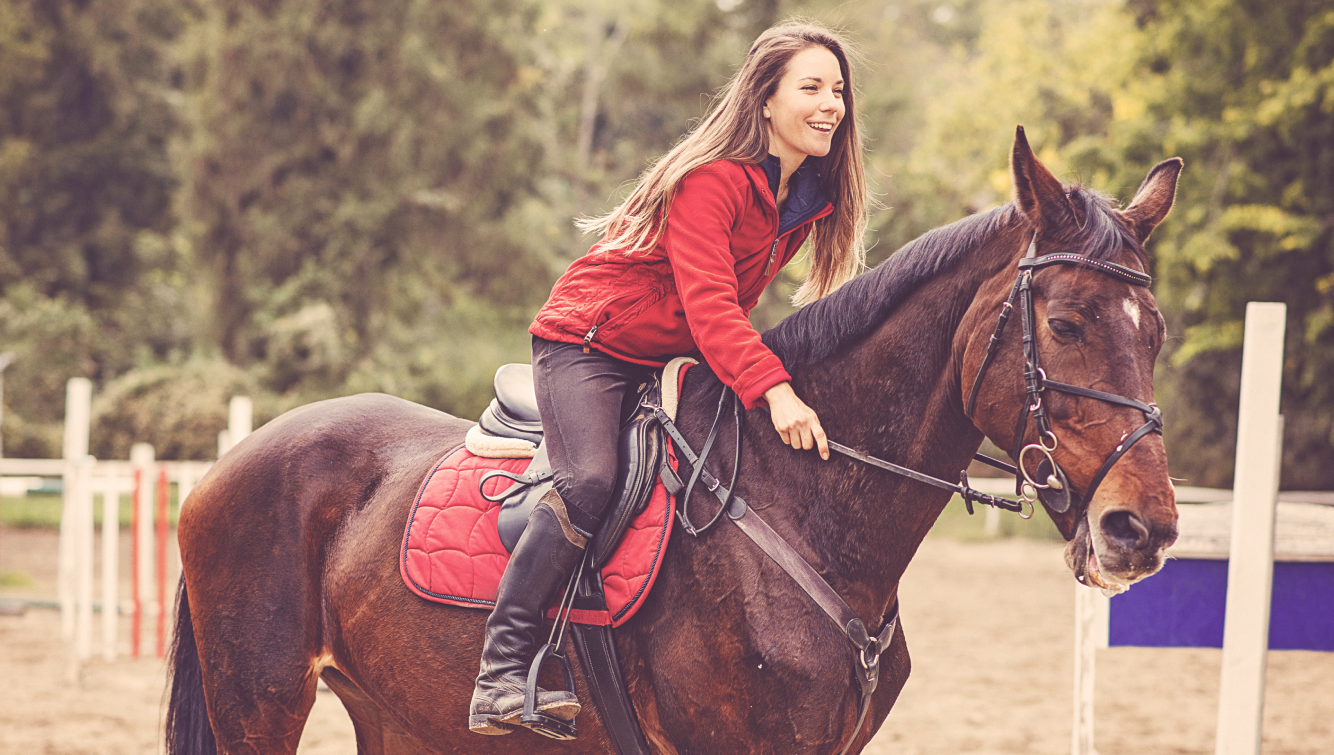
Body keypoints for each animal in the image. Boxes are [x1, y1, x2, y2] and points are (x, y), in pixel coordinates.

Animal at [166, 128, 1181, 754]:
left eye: (1157, 330)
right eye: (1066, 323)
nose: (1144, 530)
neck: (805, 512)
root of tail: (230, 464)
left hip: (396, 713)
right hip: (258, 701)